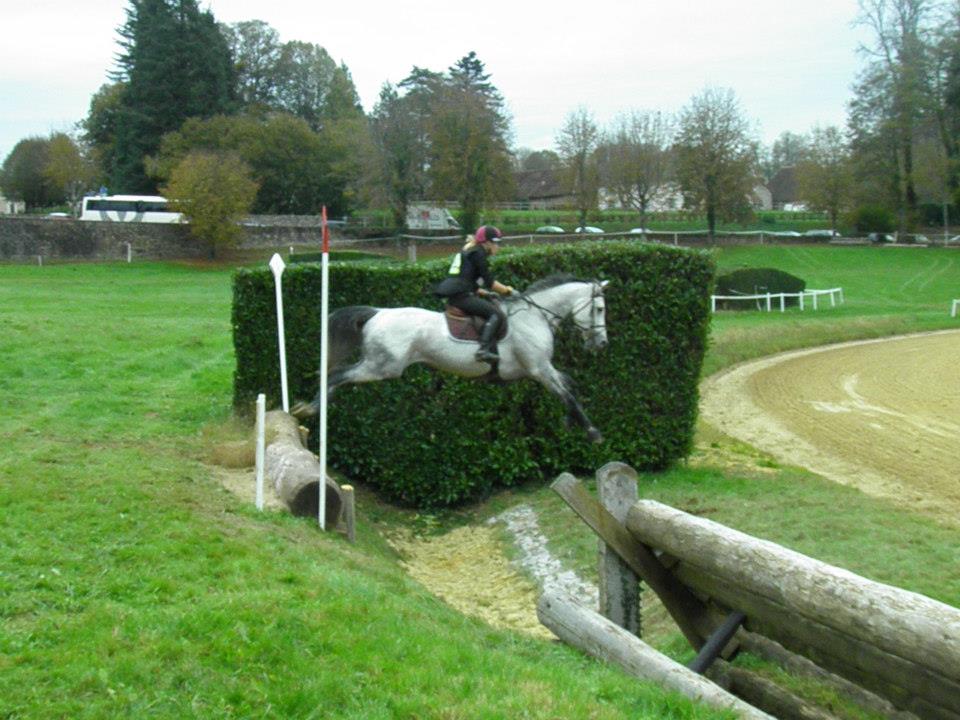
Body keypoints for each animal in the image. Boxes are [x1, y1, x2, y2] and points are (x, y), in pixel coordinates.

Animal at [288, 276, 612, 442]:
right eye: (599, 309)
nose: (602, 343)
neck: (535, 316)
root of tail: (377, 313)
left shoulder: (544, 370)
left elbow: (570, 386)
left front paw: (570, 422)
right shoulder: (539, 369)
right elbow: (568, 394)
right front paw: (592, 431)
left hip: (378, 365)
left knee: (337, 376)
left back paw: (309, 407)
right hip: (382, 367)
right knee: (337, 375)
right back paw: (311, 408)